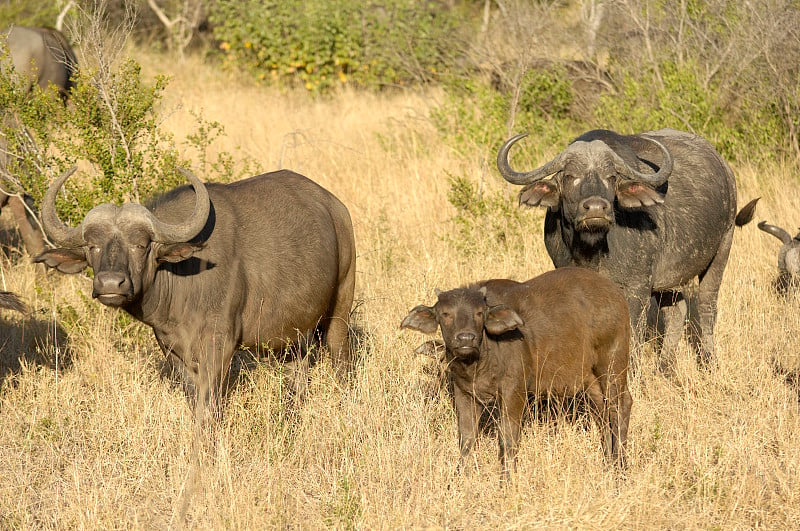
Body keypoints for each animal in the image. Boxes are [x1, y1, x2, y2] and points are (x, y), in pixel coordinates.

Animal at [36, 168, 356, 426]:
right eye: (93, 246)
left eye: (141, 245)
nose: (111, 283)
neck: (182, 280)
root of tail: (336, 208)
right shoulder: (173, 349)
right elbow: (193, 399)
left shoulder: (220, 346)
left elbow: (209, 405)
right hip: (293, 337)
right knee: (297, 375)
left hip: (339, 310)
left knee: (341, 362)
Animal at [400, 268, 632, 480]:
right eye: (445, 314)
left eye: (479, 313)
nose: (466, 338)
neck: (480, 360)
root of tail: (616, 294)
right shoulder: (463, 392)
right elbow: (466, 437)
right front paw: (458, 477)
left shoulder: (514, 391)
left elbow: (509, 437)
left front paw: (507, 479)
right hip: (590, 378)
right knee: (602, 412)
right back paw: (609, 461)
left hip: (613, 363)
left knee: (620, 405)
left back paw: (620, 466)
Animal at [496, 128, 760, 374]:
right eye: (569, 176)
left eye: (611, 177)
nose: (596, 208)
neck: (593, 249)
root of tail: (725, 170)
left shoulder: (638, 288)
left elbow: (632, 331)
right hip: (671, 278)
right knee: (676, 311)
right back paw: (665, 367)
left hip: (721, 251)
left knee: (706, 307)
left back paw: (708, 362)